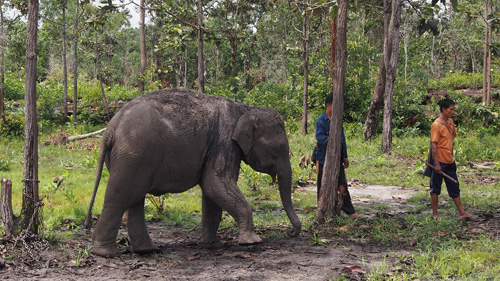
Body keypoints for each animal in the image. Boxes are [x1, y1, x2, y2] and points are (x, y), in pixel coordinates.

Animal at [84, 87, 300, 256]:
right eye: (278, 149)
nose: (291, 232)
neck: (244, 108)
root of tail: (110, 129)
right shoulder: (224, 142)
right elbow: (216, 183)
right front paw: (252, 241)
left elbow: (212, 192)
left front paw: (212, 245)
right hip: (133, 154)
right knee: (120, 197)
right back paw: (106, 253)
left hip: (129, 158)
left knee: (135, 198)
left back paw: (146, 250)